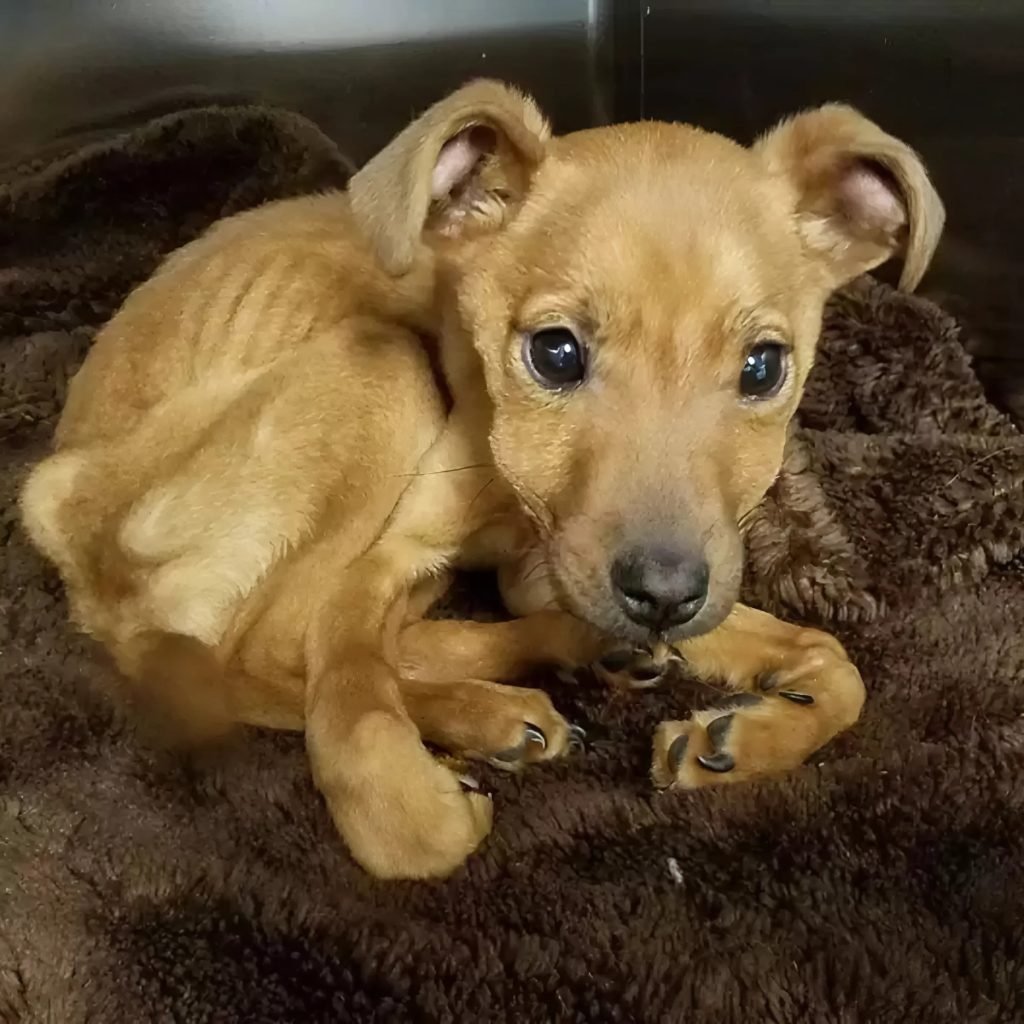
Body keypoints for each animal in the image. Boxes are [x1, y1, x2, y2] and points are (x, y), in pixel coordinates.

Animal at [18, 79, 942, 880]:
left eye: (762, 366)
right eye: (555, 352)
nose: (663, 594)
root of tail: (56, 520)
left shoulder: (587, 565)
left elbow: (837, 663)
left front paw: (752, 736)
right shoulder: (386, 563)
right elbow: (354, 702)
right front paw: (406, 801)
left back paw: (563, 665)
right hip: (378, 369)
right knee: (260, 655)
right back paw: (493, 710)